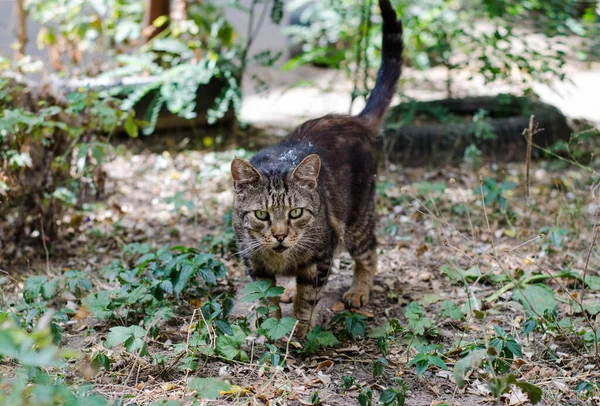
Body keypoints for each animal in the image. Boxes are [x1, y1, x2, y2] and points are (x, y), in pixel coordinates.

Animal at [230, 0, 404, 336]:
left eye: (296, 212)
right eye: (262, 215)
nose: (280, 235)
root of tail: (353, 119)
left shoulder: (320, 259)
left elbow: (307, 298)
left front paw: (296, 330)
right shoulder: (253, 263)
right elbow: (267, 299)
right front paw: (271, 323)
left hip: (358, 219)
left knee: (370, 253)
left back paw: (358, 290)